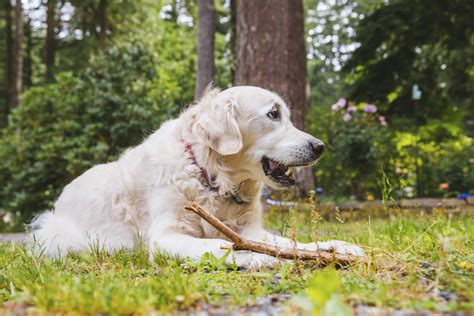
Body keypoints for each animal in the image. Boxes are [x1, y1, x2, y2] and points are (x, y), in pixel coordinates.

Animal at [30, 86, 362, 266]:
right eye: (273, 114)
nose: (319, 146)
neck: (213, 179)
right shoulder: (165, 236)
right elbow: (219, 246)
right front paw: (260, 258)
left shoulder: (251, 230)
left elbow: (292, 243)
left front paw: (335, 246)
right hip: (60, 237)